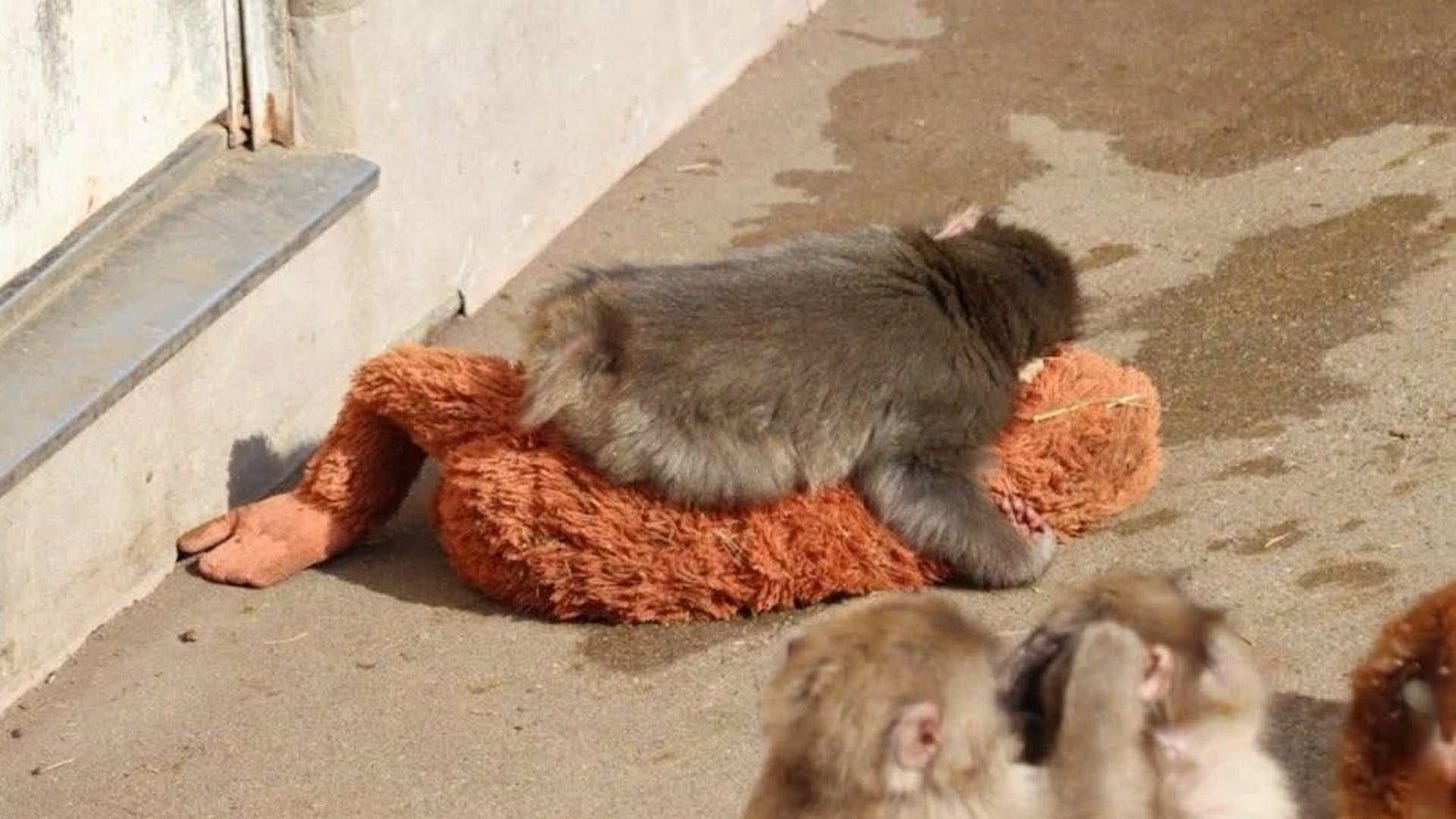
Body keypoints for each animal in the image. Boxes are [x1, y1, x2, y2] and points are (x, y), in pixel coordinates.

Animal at [518, 206, 1083, 588]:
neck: (964, 288)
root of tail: (606, 329)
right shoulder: (964, 395)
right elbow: (915, 479)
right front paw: (1025, 549)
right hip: (659, 437)